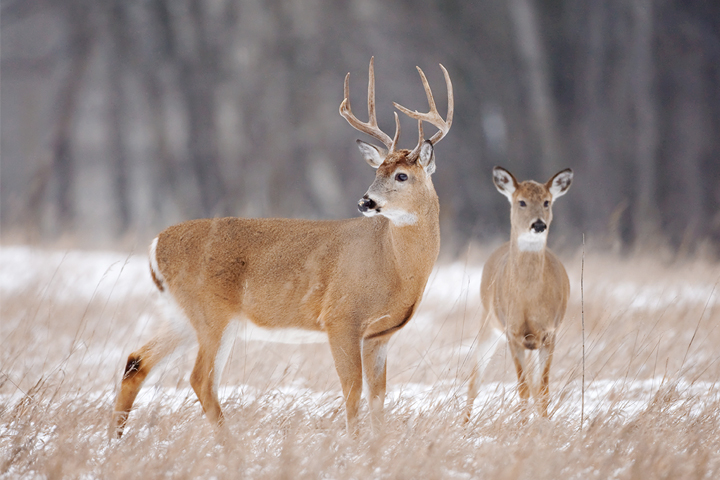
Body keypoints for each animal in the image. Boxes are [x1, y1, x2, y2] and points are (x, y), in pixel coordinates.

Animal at [109, 57, 453, 439]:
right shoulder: (340, 318)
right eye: (377, 171)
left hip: (181, 314)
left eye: (401, 176)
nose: (365, 201)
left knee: (137, 361)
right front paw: (354, 444)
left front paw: (378, 445)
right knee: (201, 378)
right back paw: (232, 446)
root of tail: (156, 244)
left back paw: (115, 440)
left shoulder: (380, 335)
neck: (394, 266)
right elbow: (352, 392)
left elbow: (378, 398)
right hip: (213, 312)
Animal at [464, 166, 573, 420]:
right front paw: (522, 426)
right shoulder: (512, 332)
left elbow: (542, 390)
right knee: (474, 380)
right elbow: (523, 389)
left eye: (546, 201)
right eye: (521, 202)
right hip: (489, 322)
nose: (539, 225)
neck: (528, 300)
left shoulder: (549, 332)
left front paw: (543, 425)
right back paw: (463, 424)